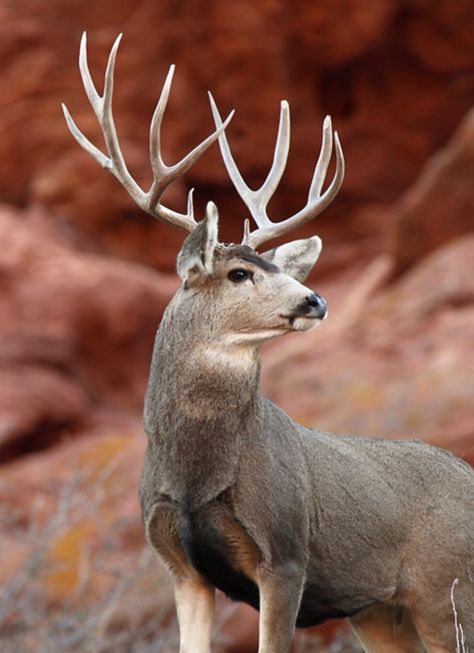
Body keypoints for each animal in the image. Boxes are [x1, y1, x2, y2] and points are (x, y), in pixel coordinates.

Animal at [64, 34, 474, 652]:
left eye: (277, 268)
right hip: (379, 613)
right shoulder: (179, 565)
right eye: (239, 273)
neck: (196, 473)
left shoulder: (284, 554)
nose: (315, 300)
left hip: (446, 591)